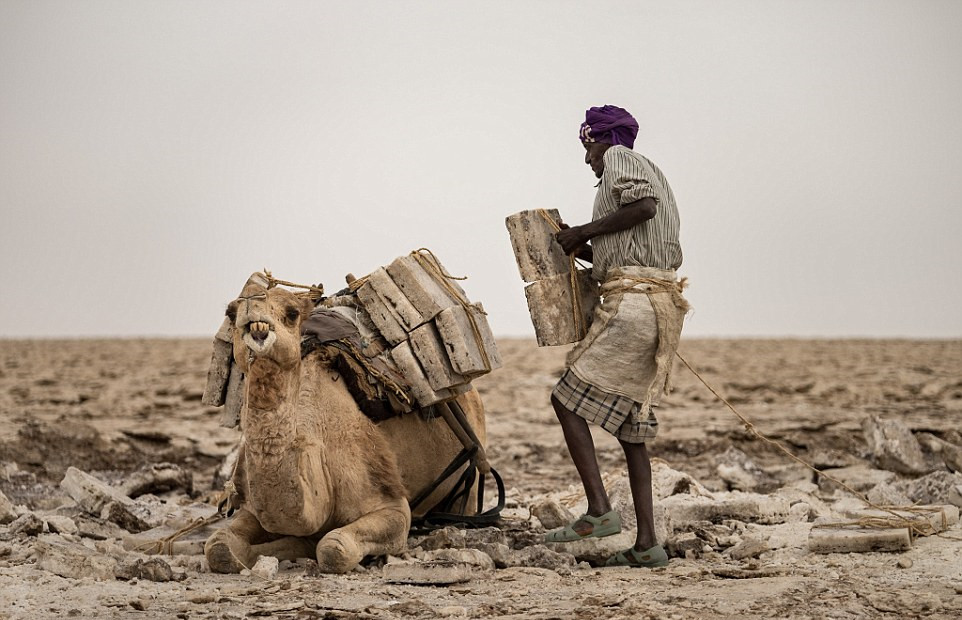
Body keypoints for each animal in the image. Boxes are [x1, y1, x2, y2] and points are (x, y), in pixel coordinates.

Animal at [202, 278, 488, 572]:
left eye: (292, 313)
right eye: (231, 313)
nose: (251, 301)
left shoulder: (392, 505)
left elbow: (333, 548)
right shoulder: (252, 508)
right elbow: (218, 546)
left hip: (468, 482)